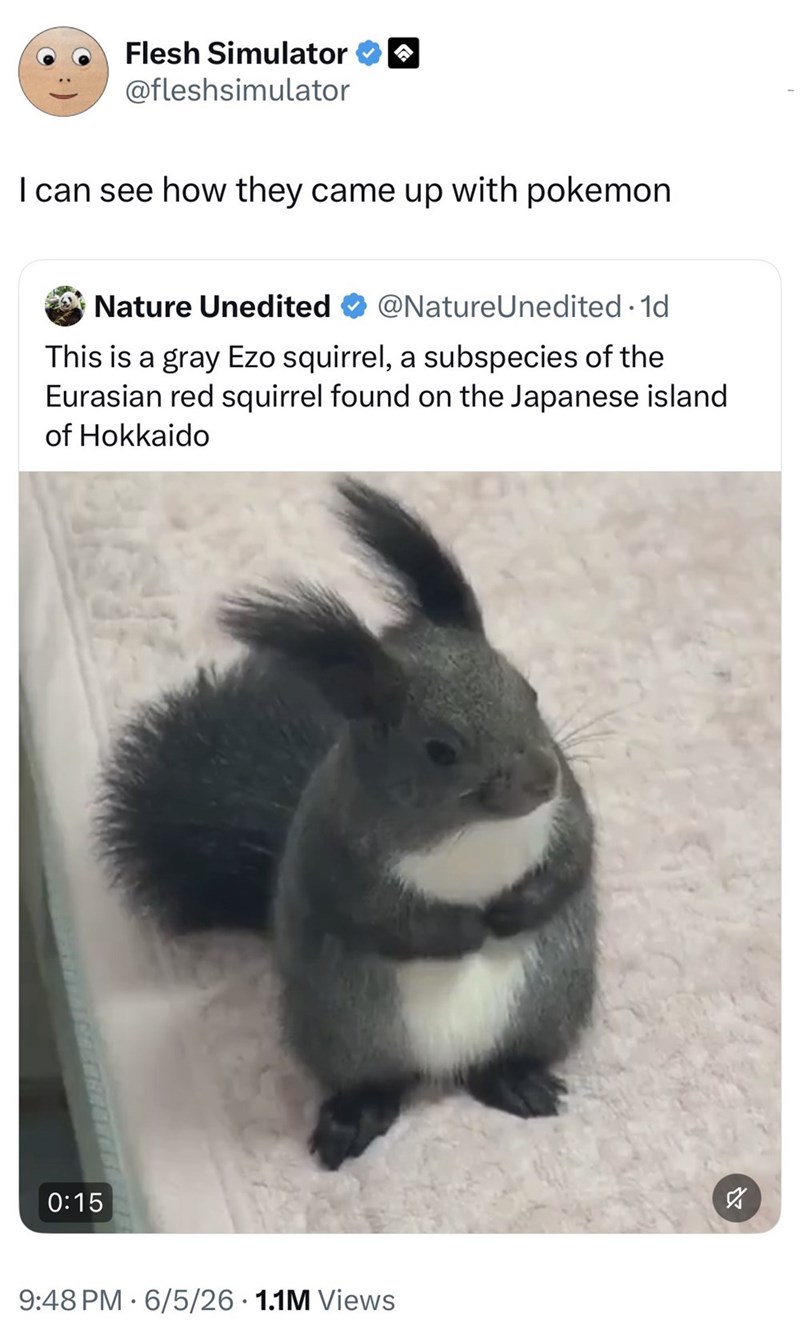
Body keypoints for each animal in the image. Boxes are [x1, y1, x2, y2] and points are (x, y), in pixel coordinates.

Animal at [96, 478, 597, 1170]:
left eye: (530, 692)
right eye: (440, 749)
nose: (540, 779)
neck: (466, 830)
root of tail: (447, 1068)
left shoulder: (567, 811)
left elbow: (575, 858)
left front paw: (515, 909)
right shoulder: (336, 848)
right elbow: (380, 916)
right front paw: (466, 929)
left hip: (549, 1002)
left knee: (499, 1061)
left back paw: (514, 1079)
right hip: (345, 1032)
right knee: (377, 1081)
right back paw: (356, 1116)